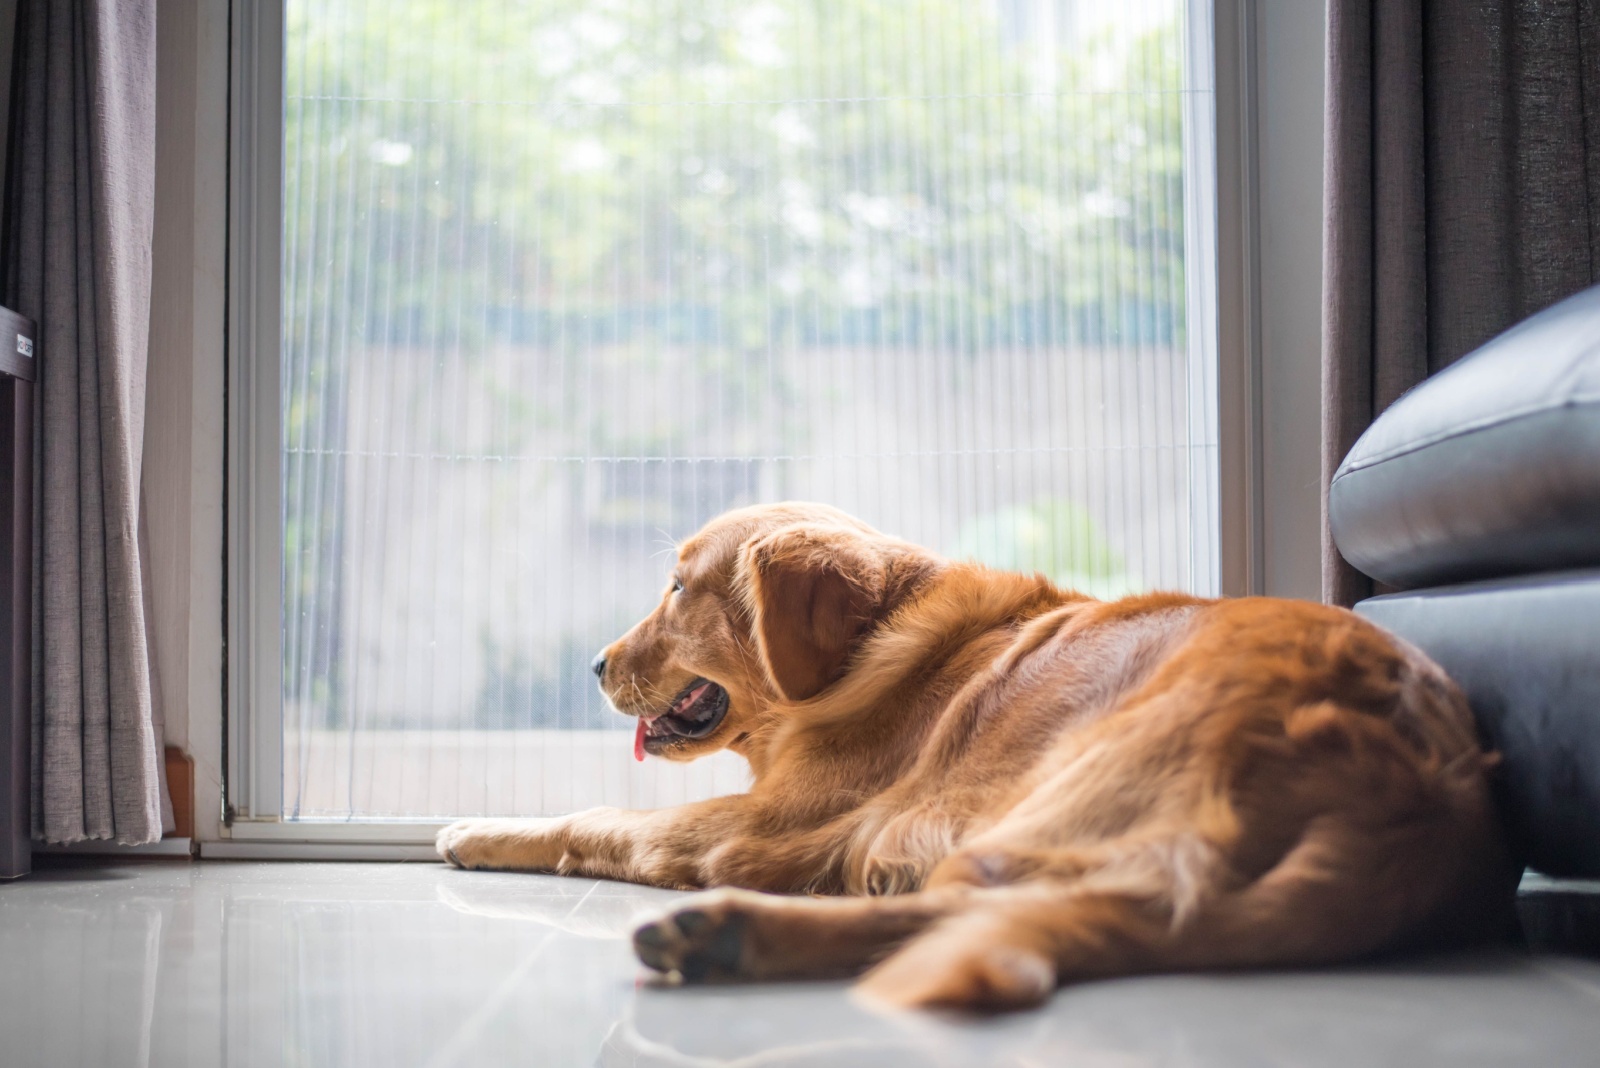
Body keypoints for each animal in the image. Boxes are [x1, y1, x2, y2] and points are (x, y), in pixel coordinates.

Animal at [441, 502, 1510, 1010]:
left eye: (675, 588)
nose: (593, 665)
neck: (862, 653)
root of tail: (1422, 788)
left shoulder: (756, 830)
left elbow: (595, 817)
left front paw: (475, 829)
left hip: (1054, 796)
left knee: (969, 912)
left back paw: (726, 933)